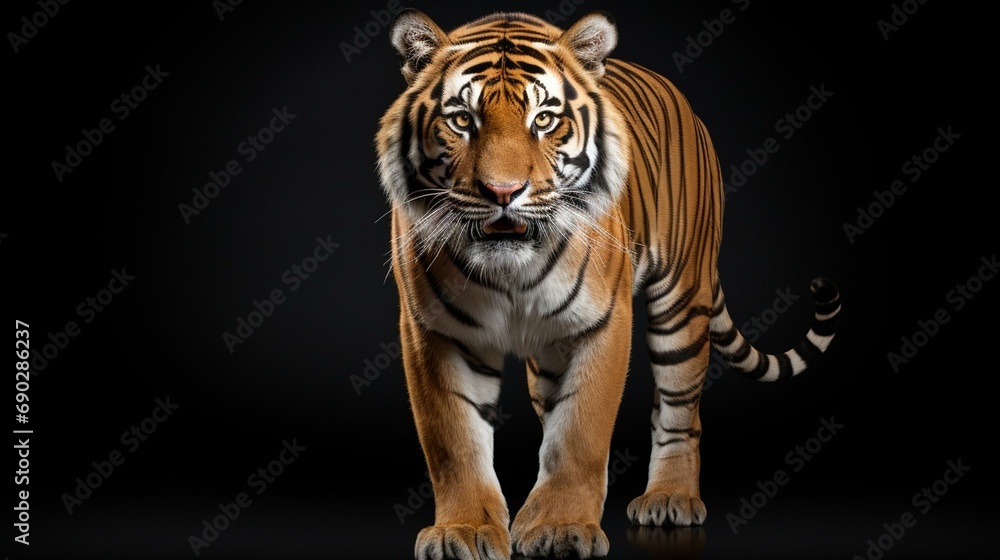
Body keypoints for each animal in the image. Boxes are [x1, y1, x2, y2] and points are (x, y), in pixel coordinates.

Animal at [375, 8, 840, 559]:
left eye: (544, 120)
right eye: (462, 120)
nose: (503, 192)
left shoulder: (603, 321)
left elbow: (580, 432)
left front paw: (561, 527)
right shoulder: (434, 332)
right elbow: (453, 441)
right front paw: (463, 531)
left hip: (681, 303)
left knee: (680, 412)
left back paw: (670, 498)